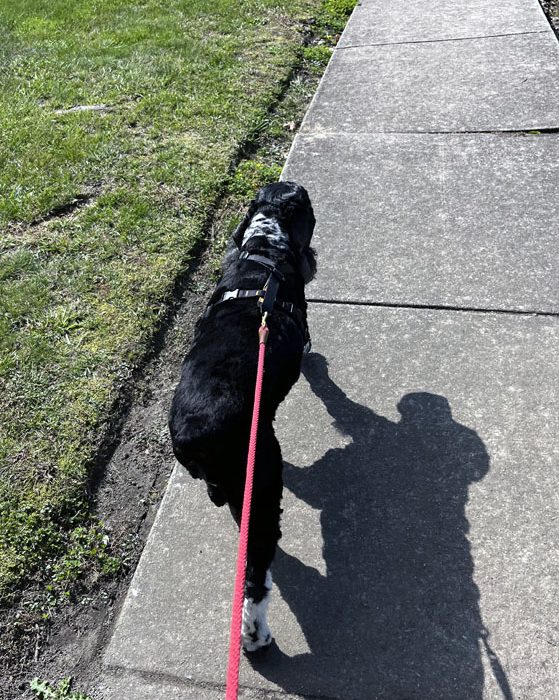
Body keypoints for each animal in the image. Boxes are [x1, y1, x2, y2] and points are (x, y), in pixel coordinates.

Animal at [168, 179, 318, 652]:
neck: (262, 249)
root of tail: (195, 434)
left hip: (241, 487)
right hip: (263, 479)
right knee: (256, 577)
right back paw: (256, 636)